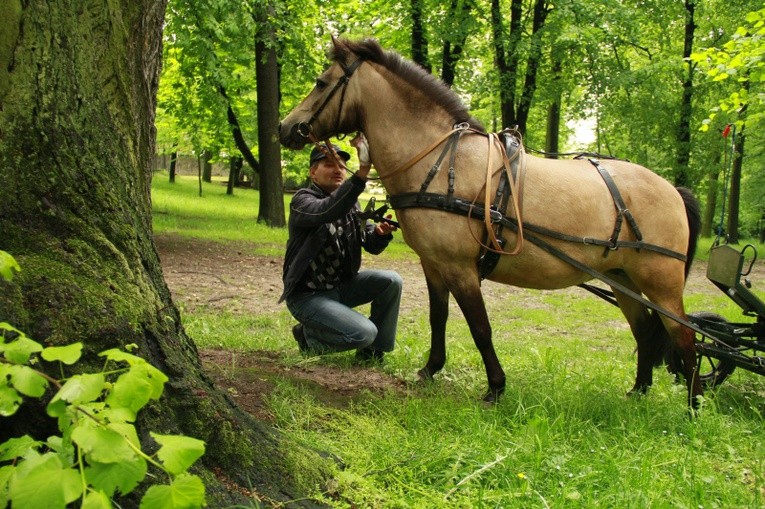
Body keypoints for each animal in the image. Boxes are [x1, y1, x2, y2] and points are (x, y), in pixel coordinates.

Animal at [278, 35, 700, 408]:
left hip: (660, 283)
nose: (285, 127)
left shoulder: (461, 267)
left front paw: (495, 387)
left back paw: (693, 407)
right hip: (623, 279)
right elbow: (438, 317)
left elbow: (480, 327)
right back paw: (639, 392)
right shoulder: (434, 264)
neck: (442, 162)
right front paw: (431, 369)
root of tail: (672, 189)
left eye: (321, 82)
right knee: (646, 332)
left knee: (684, 337)